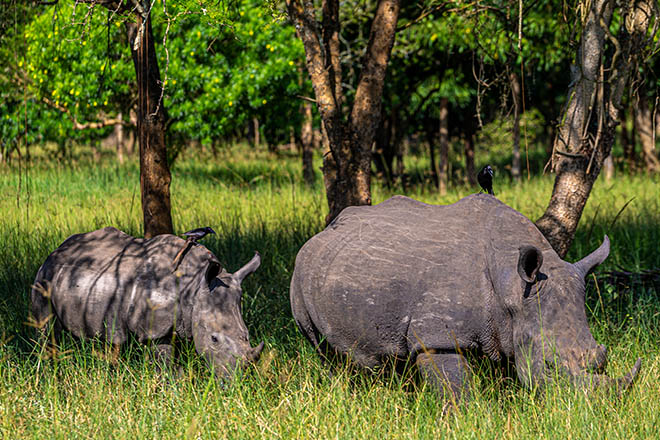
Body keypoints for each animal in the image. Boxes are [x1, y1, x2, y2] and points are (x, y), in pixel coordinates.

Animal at [31, 227, 263, 377]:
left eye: (247, 334)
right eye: (214, 339)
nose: (234, 381)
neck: (195, 286)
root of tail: (55, 250)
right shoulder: (155, 329)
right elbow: (165, 364)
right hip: (44, 277)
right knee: (47, 330)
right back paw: (49, 371)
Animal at [290, 194, 641, 399]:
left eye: (602, 358)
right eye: (551, 366)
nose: (588, 408)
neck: (511, 286)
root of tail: (325, 230)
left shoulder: (509, 325)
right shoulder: (436, 337)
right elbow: (456, 388)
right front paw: (462, 419)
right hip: (300, 271)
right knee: (321, 348)